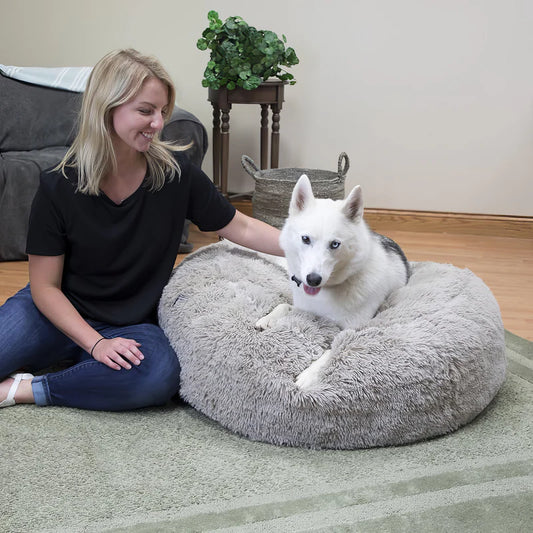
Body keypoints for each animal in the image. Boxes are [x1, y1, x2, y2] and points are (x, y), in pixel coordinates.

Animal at [256, 177, 410, 388]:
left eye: (335, 244)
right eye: (305, 239)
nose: (313, 280)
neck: (327, 291)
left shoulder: (351, 331)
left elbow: (332, 350)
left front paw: (310, 374)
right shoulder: (304, 307)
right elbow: (284, 305)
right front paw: (269, 318)